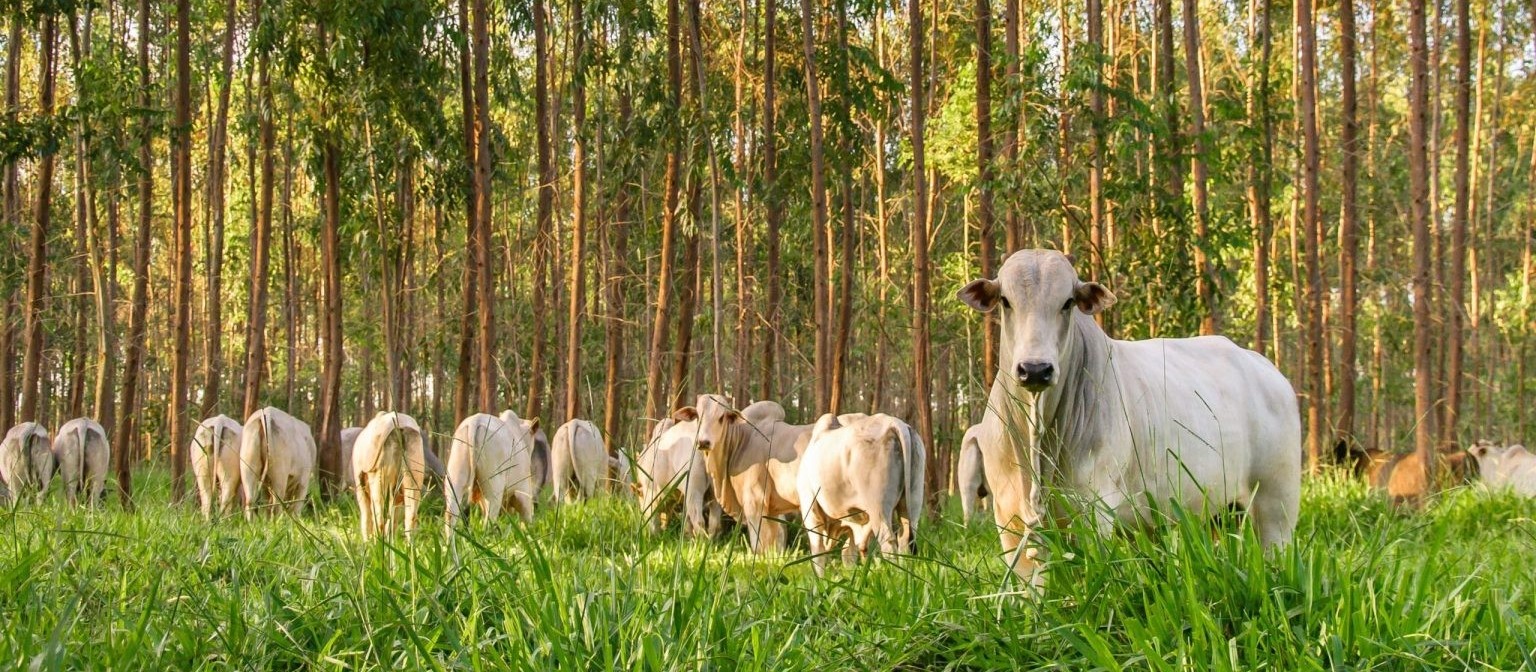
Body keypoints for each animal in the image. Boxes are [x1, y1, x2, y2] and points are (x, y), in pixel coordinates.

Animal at [354, 408, 433, 540]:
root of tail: (399, 425)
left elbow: (366, 518)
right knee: (410, 517)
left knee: (378, 517)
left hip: (380, 474)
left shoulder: (360, 487)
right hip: (413, 467)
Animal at [445, 408, 540, 536]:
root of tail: (475, 420)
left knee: (450, 518)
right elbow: (526, 520)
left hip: (455, 481)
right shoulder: (523, 491)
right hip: (494, 488)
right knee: (489, 521)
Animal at [798, 411, 927, 573]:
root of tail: (893, 423)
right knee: (905, 538)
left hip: (879, 507)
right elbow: (853, 551)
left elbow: (818, 554)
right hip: (913, 500)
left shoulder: (810, 511)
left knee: (888, 540)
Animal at [958, 250, 1296, 589]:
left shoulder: (1093, 511)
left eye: (1067, 302)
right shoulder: (1011, 518)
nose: (1036, 369)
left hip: (1275, 504)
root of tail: (1269, 370)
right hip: (1219, 513)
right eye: (1006, 301)